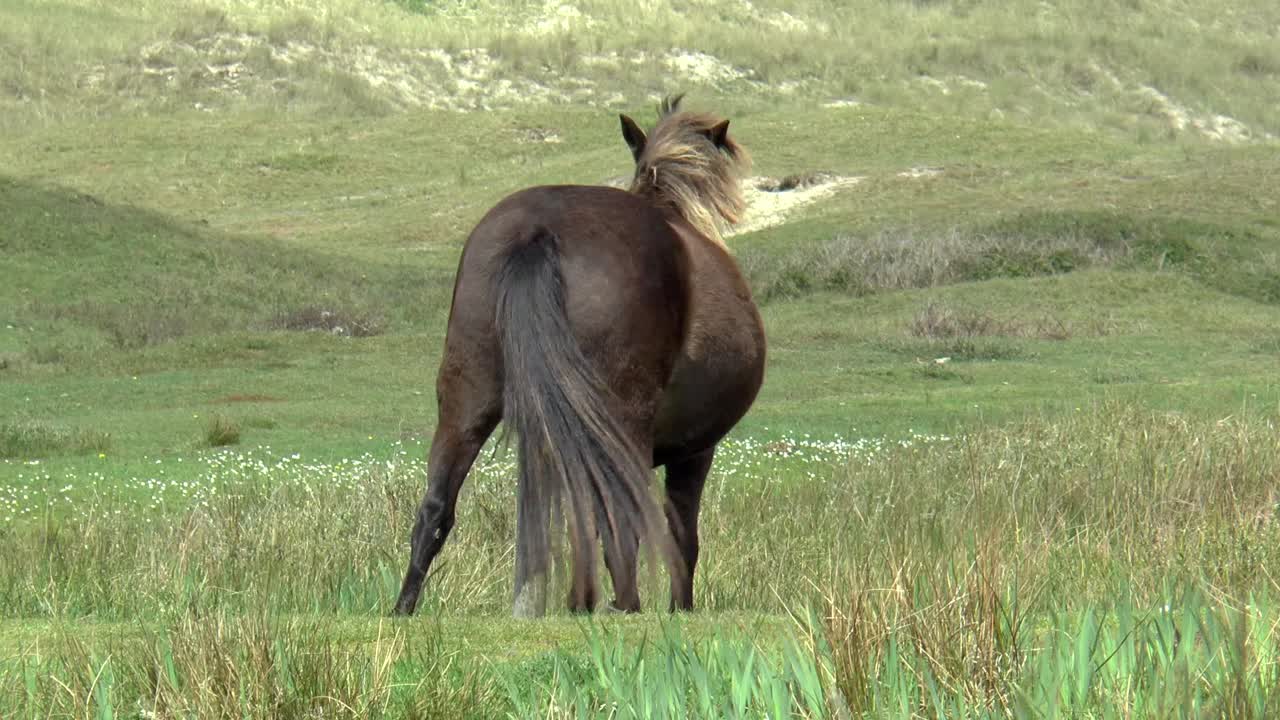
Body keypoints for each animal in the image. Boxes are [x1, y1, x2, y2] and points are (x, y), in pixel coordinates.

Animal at [392, 95, 766, 618]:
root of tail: (538, 231)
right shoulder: (696, 450)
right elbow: (680, 534)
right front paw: (679, 606)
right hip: (623, 418)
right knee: (623, 520)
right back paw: (625, 604)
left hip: (467, 395)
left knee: (436, 506)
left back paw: (405, 606)